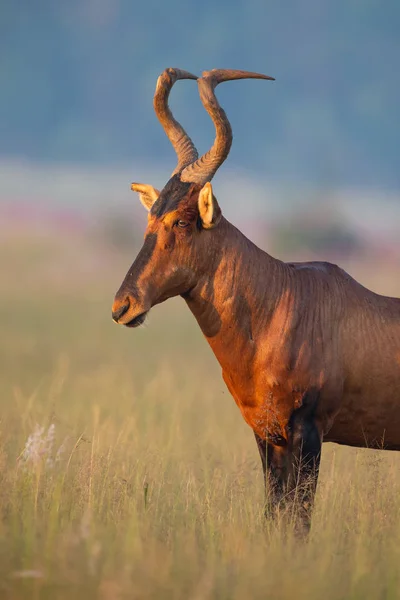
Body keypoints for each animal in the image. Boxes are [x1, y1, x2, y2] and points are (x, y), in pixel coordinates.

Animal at [111, 68, 400, 528]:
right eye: (151, 217)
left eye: (182, 221)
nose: (124, 306)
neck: (282, 299)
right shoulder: (267, 437)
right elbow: (275, 516)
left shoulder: (308, 434)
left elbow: (298, 522)